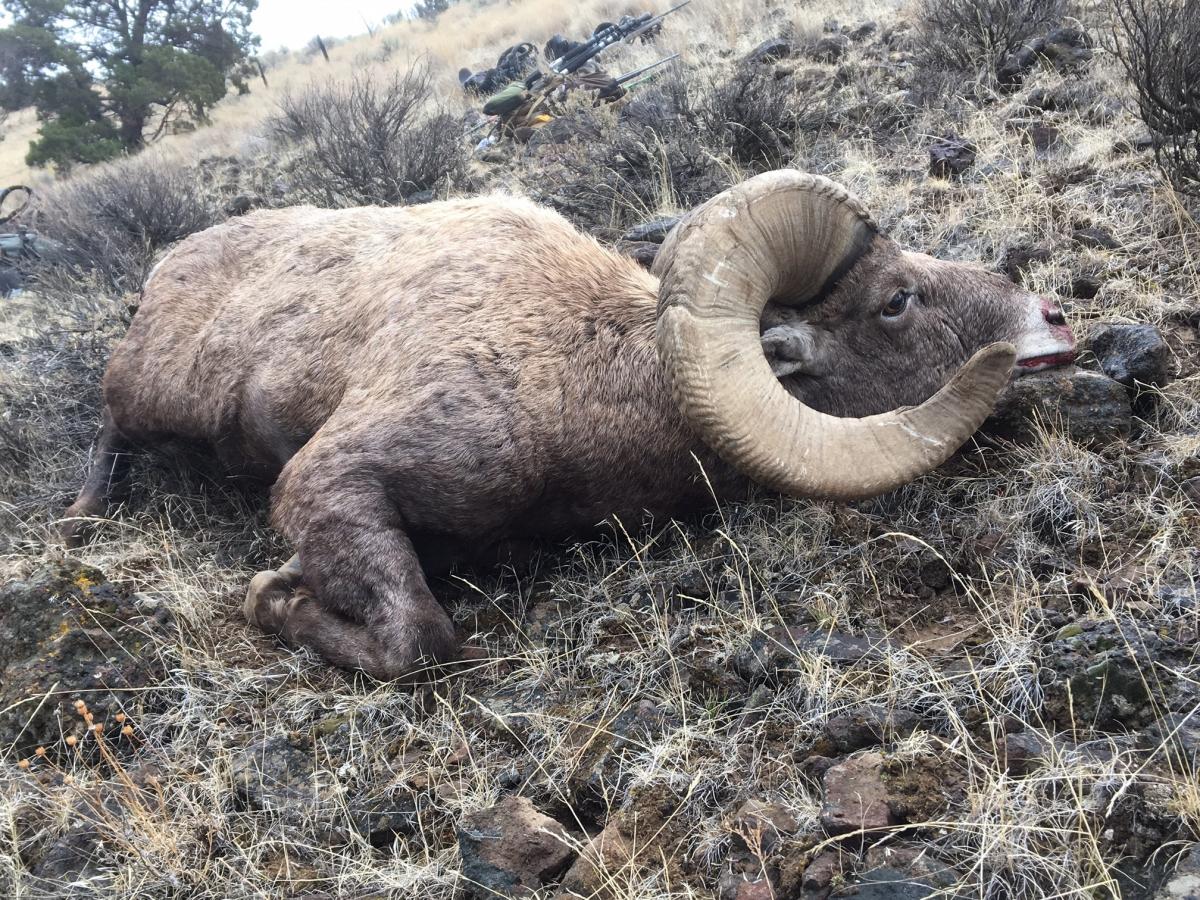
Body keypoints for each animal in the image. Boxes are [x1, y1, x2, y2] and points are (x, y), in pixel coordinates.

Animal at [64, 171, 1076, 680]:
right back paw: (83, 514)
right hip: (148, 395)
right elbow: (421, 642)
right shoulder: (332, 480)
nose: (1055, 318)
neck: (577, 368)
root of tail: (168, 268)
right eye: (896, 300)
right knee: (110, 424)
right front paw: (271, 594)